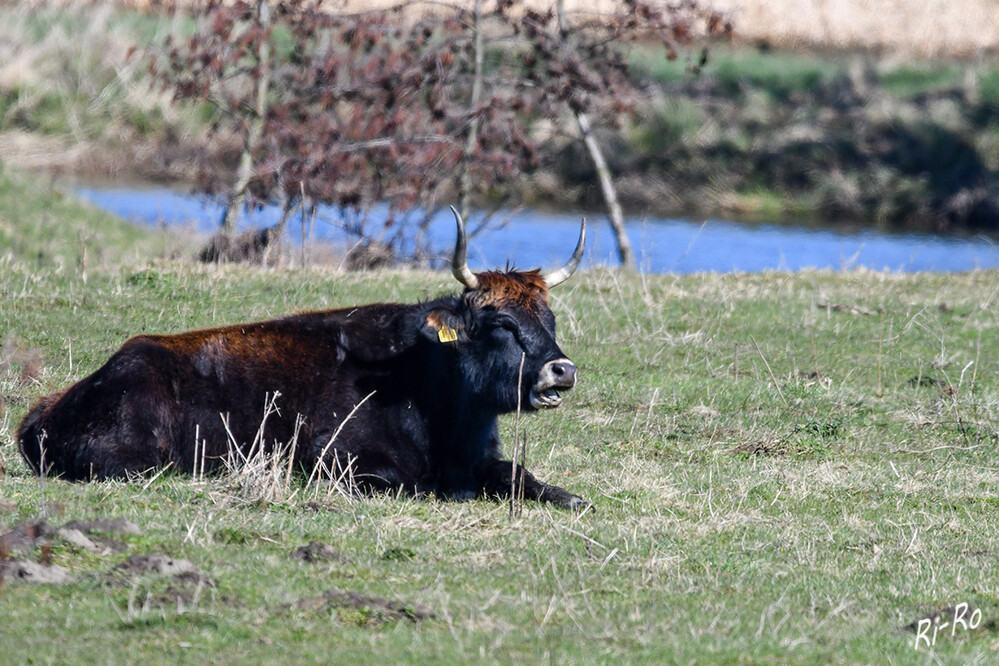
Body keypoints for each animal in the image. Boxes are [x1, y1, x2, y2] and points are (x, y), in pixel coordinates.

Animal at [15, 209, 588, 508]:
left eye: (549, 319)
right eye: (501, 324)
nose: (562, 370)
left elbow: (524, 477)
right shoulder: (343, 464)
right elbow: (419, 486)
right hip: (138, 458)